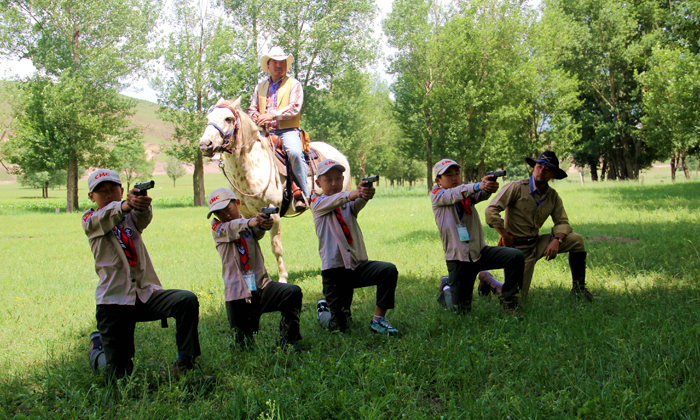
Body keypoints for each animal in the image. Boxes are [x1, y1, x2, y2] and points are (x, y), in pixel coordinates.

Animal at [197, 97, 350, 284]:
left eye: (228, 119)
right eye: (208, 117)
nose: (205, 144)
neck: (251, 169)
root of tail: (340, 155)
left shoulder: (274, 213)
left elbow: (276, 247)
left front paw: (283, 277)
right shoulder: (246, 215)